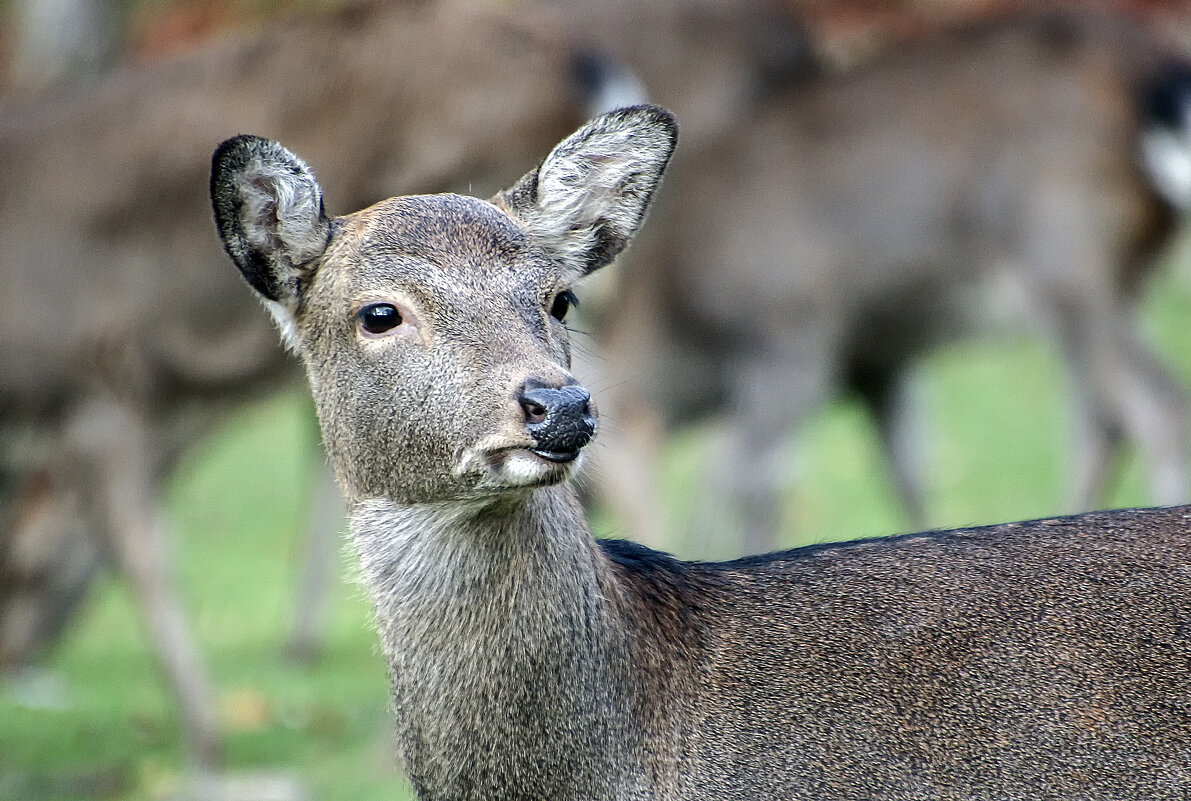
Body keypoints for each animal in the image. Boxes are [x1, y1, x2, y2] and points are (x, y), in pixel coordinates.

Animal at [555, 3, 1191, 557]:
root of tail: (1157, 80)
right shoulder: (879, 358)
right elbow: (905, 468)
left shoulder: (795, 326)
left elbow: (756, 475)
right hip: (1115, 277)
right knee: (1102, 420)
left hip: (1066, 255)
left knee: (1155, 409)